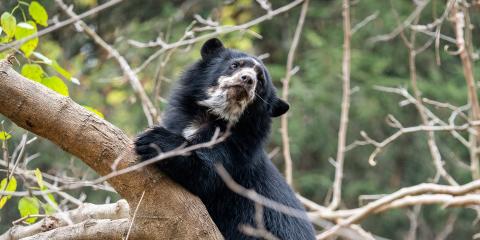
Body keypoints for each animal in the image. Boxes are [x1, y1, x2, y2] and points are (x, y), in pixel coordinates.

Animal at [135, 38, 316, 239]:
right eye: (234, 65)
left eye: (260, 82)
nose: (247, 79)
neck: (214, 116)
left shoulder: (235, 150)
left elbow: (205, 174)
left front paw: (154, 139)